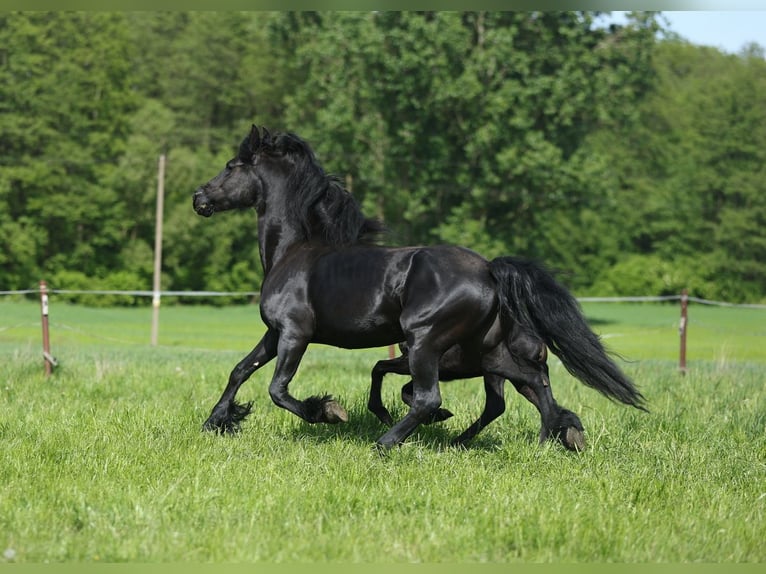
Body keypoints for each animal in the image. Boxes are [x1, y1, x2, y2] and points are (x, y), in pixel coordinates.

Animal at [194, 125, 648, 450]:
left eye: (232, 166)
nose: (199, 198)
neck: (292, 252)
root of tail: (489, 269)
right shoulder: (274, 334)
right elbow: (240, 370)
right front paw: (216, 422)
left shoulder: (295, 333)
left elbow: (278, 389)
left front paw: (328, 411)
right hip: (487, 353)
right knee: (532, 385)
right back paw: (560, 435)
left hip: (426, 342)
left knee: (434, 397)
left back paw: (388, 442)